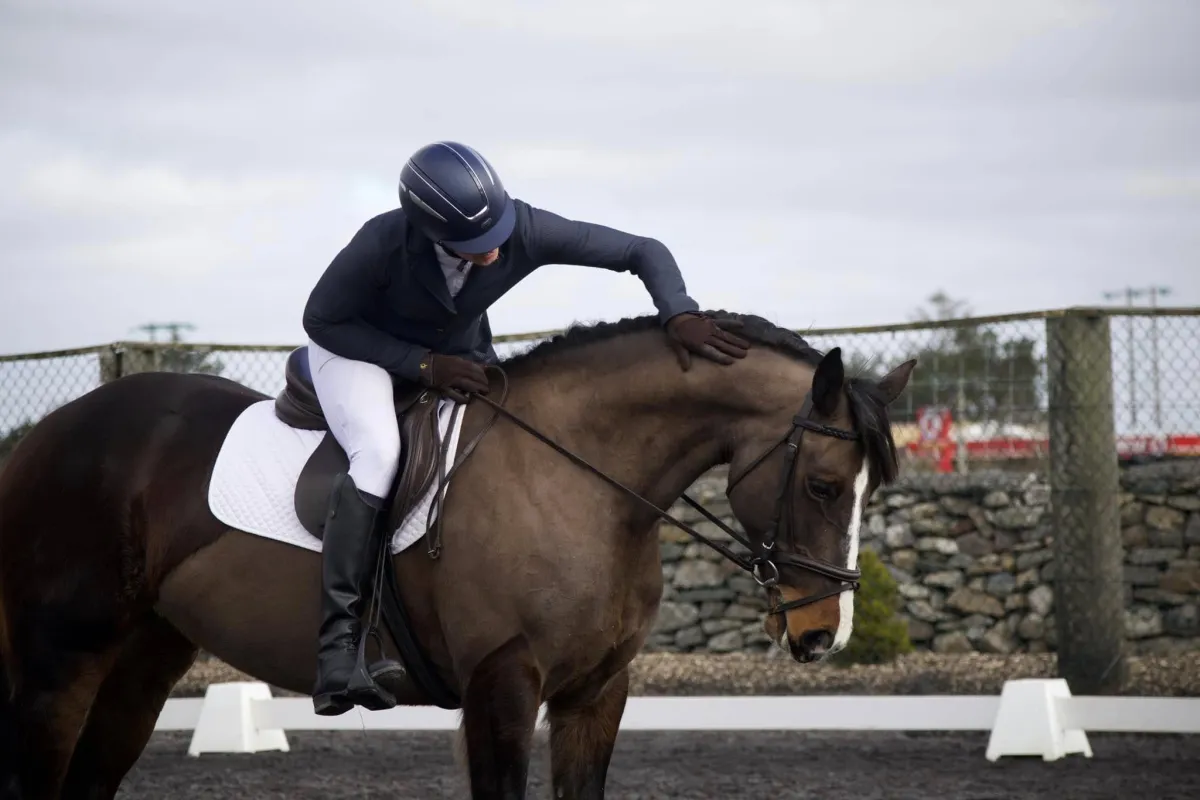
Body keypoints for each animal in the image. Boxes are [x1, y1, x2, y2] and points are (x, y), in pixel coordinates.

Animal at [0, 310, 915, 799]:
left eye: (874, 489)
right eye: (825, 486)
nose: (822, 636)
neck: (581, 479)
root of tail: (45, 434)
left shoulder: (594, 694)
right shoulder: (501, 684)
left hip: (143, 663)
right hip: (59, 666)